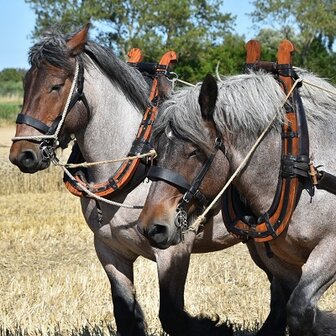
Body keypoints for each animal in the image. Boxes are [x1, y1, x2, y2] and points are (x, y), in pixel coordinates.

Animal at [8, 25, 239, 334]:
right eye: (26, 83)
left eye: (56, 86)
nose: (22, 154)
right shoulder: (110, 252)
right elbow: (126, 315)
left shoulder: (173, 251)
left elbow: (173, 315)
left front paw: (215, 323)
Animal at [136, 69, 336, 334]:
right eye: (156, 149)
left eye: (194, 151)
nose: (153, 227)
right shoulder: (281, 262)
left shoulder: (330, 248)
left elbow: (300, 310)